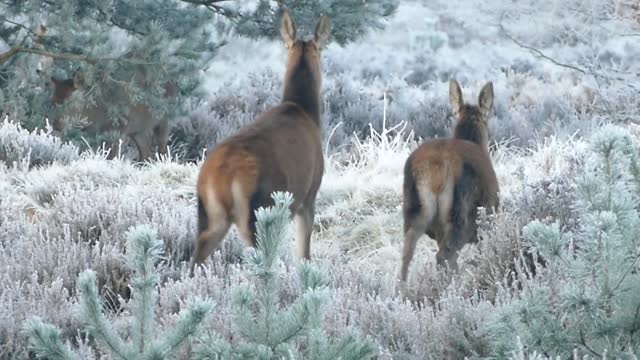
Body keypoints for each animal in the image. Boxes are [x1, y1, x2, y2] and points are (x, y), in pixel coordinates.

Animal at [39, 68, 175, 161]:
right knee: (146, 152)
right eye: (52, 101)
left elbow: (111, 156)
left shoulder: (119, 130)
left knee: (161, 148)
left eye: (71, 101)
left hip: (165, 121)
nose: (56, 124)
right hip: (138, 129)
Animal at [189, 11, 330, 276]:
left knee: (196, 258)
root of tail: (221, 176)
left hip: (209, 215)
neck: (304, 111)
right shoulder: (309, 195)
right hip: (258, 213)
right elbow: (303, 253)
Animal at [400, 79, 500, 284]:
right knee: (445, 256)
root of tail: (435, 168)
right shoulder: (490, 220)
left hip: (413, 209)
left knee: (407, 256)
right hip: (460, 214)